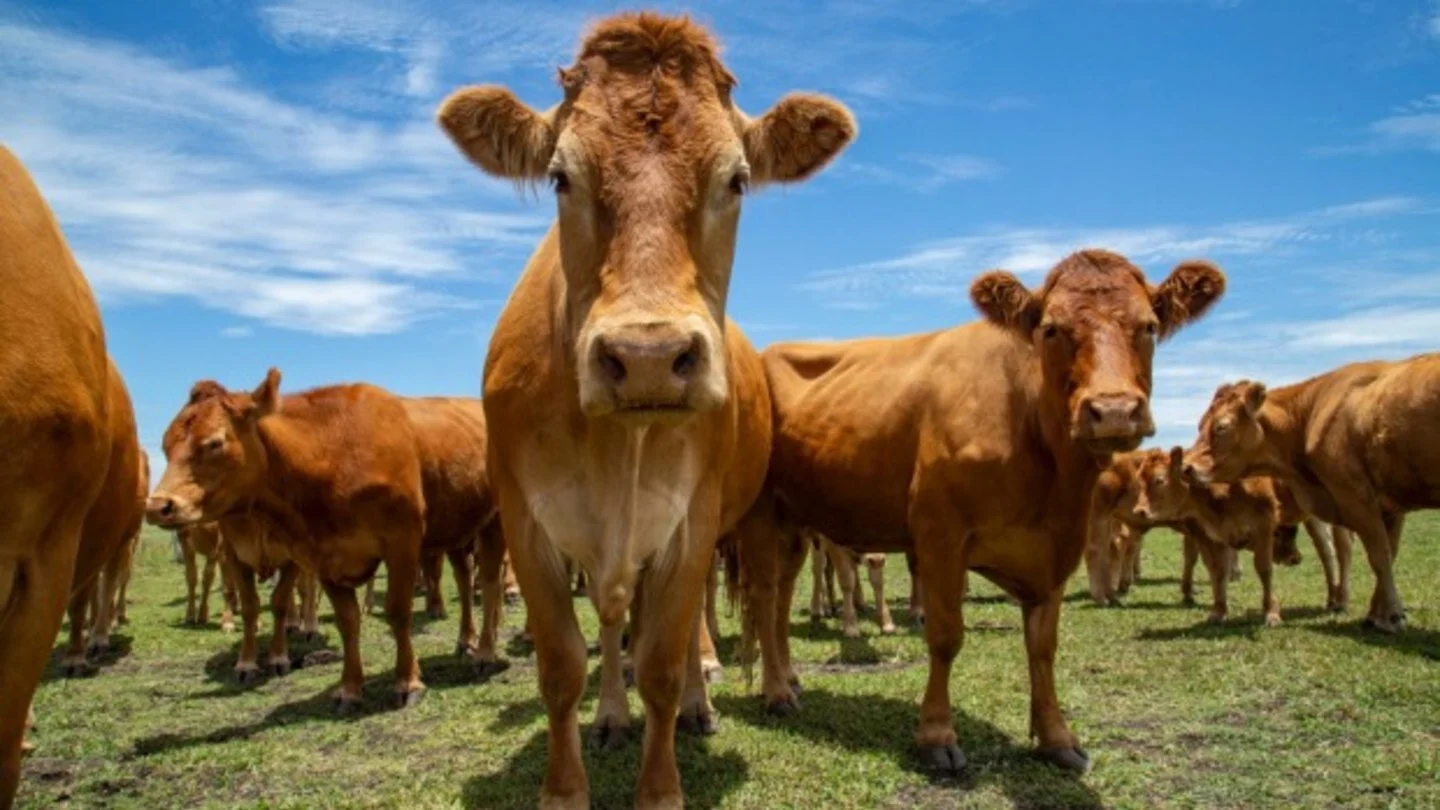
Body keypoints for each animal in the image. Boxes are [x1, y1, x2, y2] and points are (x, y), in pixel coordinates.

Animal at [436, 11, 854, 807]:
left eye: (737, 180)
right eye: (560, 176)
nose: (649, 356)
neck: (614, 451)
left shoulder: (691, 523)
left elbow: (660, 659)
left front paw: (661, 782)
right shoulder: (526, 522)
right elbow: (564, 664)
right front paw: (566, 785)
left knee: (729, 612)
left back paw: (712, 697)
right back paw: (612, 716)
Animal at [729, 249, 1225, 774]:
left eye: (1149, 326)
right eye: (1051, 329)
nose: (1112, 411)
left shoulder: (1056, 546)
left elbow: (1043, 645)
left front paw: (1056, 737)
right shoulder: (940, 534)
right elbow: (946, 635)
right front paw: (936, 736)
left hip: (794, 519)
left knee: (783, 596)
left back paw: (788, 677)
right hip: (760, 512)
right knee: (764, 594)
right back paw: (776, 692)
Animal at [1182, 356, 1439, 633]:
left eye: (1222, 426)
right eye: (1200, 424)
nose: (1186, 467)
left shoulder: (1356, 498)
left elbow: (1379, 557)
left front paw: (1390, 616)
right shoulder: (1390, 507)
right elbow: (1388, 554)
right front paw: (1377, 613)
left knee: (1339, 551)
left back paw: (1341, 600)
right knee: (1329, 552)